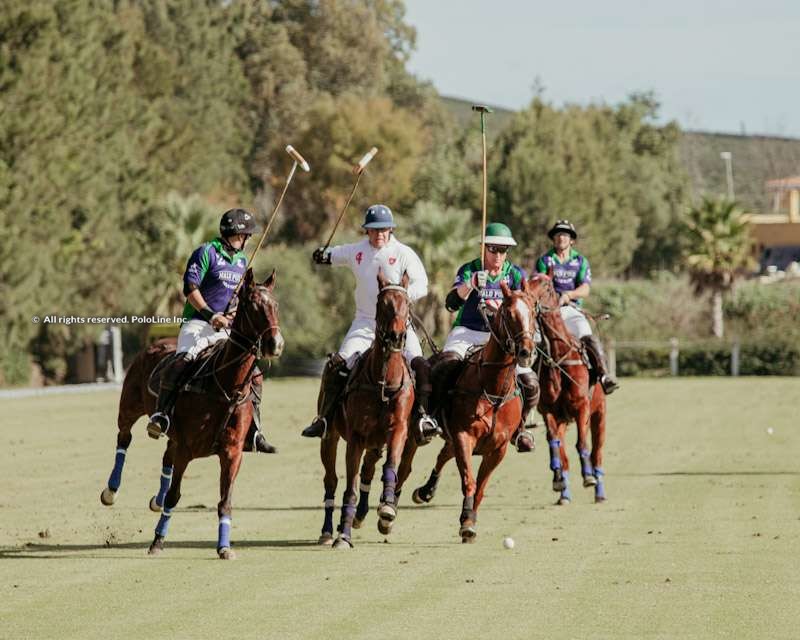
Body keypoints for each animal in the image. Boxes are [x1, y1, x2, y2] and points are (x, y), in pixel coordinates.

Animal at [99, 268, 282, 556]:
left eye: (275, 306)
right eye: (253, 305)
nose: (276, 344)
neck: (225, 385)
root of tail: (157, 342)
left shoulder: (232, 453)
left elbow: (225, 500)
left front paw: (224, 548)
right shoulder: (187, 448)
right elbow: (175, 496)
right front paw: (157, 541)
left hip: (172, 433)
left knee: (165, 456)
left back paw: (156, 499)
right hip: (129, 406)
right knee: (124, 438)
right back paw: (111, 491)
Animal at [318, 270, 416, 552]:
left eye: (407, 304)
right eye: (382, 304)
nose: (395, 337)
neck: (383, 381)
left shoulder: (398, 430)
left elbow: (390, 466)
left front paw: (387, 510)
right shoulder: (356, 437)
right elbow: (348, 488)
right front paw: (343, 536)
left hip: (376, 442)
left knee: (369, 470)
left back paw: (362, 515)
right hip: (330, 438)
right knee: (331, 480)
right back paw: (328, 530)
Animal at [410, 282, 536, 544]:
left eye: (533, 312)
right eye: (509, 314)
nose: (526, 352)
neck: (493, 390)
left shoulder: (498, 449)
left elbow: (480, 486)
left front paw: (470, 519)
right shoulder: (463, 436)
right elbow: (469, 480)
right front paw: (467, 521)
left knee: (443, 455)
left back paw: (427, 491)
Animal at [524, 272, 608, 502]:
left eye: (546, 285)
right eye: (529, 280)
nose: (526, 296)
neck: (558, 356)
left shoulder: (582, 407)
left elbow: (582, 444)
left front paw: (588, 477)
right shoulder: (549, 411)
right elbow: (554, 443)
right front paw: (558, 479)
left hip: (599, 415)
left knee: (597, 453)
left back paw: (599, 491)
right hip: (564, 419)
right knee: (564, 455)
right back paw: (564, 493)